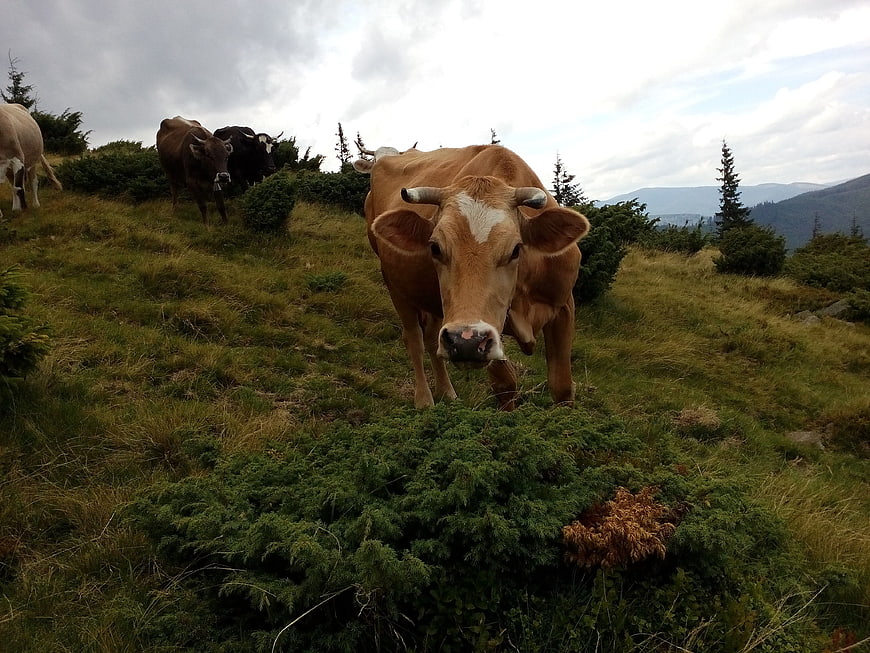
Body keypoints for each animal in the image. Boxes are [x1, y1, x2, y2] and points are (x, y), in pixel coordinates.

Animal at [354, 144, 590, 410]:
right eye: (435, 247)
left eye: (516, 249)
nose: (464, 341)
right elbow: (505, 383)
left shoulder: (564, 306)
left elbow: (562, 387)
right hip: (395, 284)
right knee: (413, 339)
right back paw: (424, 399)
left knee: (431, 337)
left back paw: (447, 392)